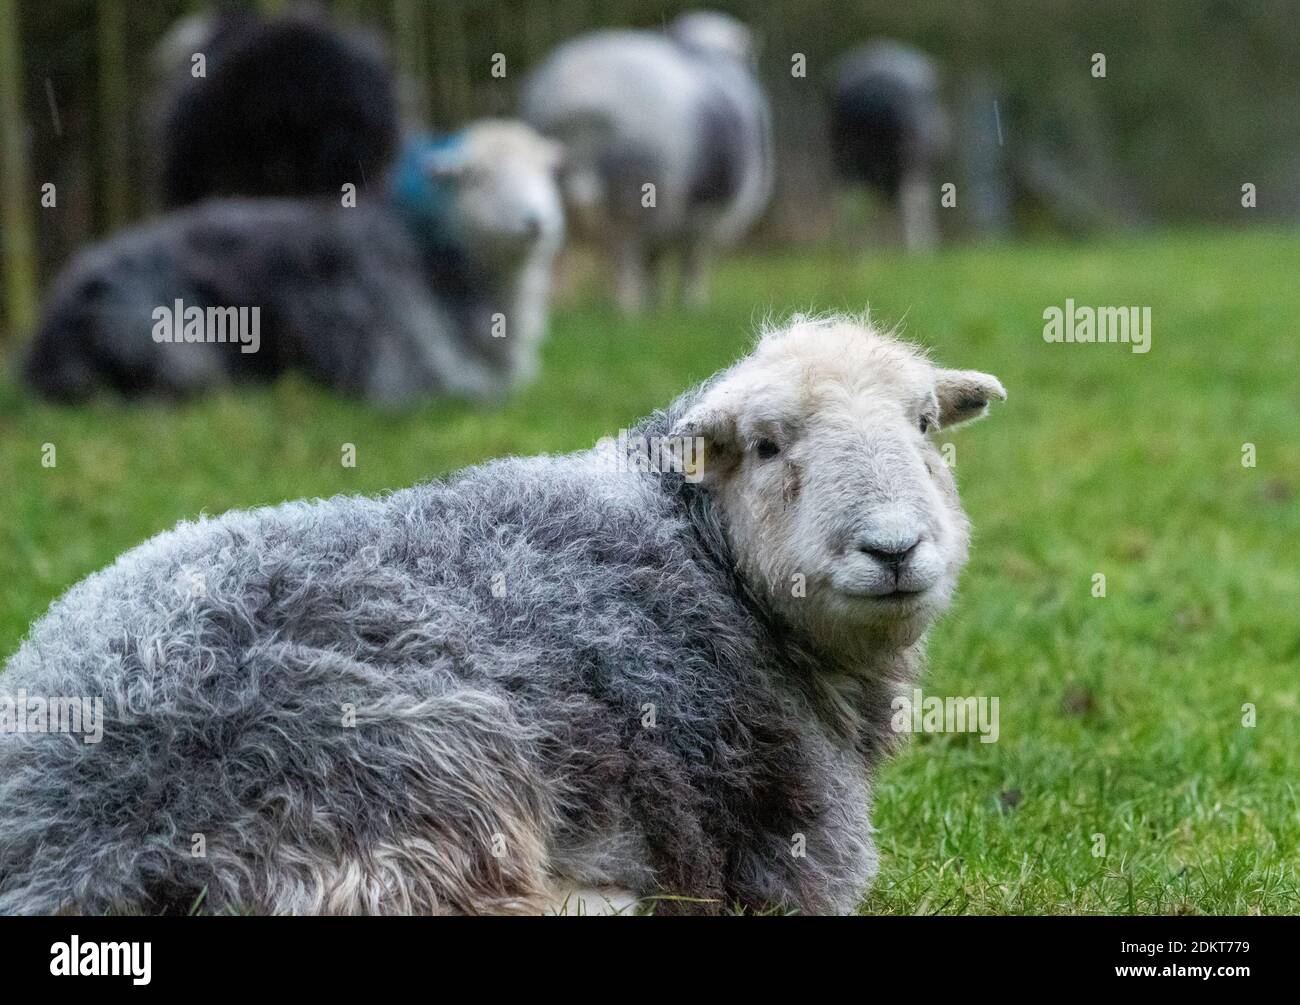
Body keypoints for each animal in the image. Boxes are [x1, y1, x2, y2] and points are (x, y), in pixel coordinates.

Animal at [0, 317, 1003, 915]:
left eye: (924, 424)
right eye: (765, 446)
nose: (894, 547)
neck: (705, 554)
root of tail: (78, 847)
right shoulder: (791, 844)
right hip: (412, 754)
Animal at [522, 9, 769, 312]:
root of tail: (578, 99)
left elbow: (656, 260)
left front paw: (658, 303)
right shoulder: (707, 216)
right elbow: (692, 260)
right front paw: (690, 304)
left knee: (560, 252)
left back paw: (561, 305)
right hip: (637, 191)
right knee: (625, 250)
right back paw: (627, 306)